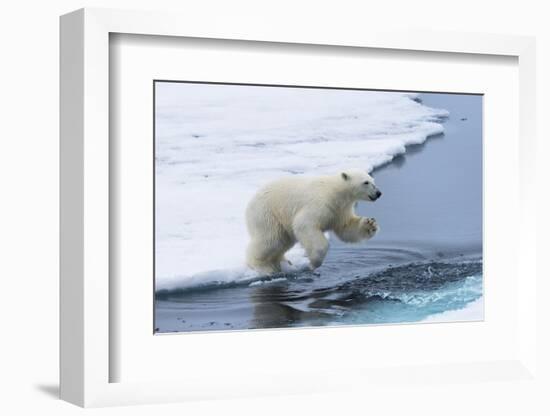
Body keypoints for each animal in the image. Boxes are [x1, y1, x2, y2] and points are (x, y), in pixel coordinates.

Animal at [247, 167, 384, 274]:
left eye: (373, 181)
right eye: (366, 182)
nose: (379, 193)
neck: (335, 192)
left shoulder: (340, 210)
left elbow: (346, 228)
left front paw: (370, 223)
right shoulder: (320, 203)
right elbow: (304, 224)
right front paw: (314, 262)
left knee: (283, 241)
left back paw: (284, 262)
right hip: (267, 214)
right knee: (270, 240)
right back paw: (263, 266)